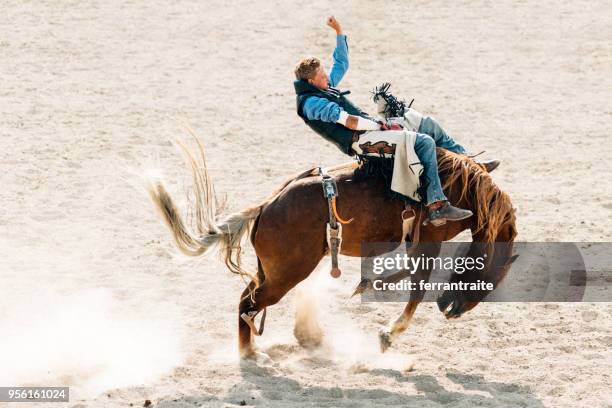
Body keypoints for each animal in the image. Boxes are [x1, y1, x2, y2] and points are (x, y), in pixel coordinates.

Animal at [147, 135, 516, 358]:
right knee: (248, 303)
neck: (464, 191)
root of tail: (266, 206)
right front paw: (388, 334)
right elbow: (417, 287)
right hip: (287, 273)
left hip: (272, 270)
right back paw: (250, 353)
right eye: (489, 278)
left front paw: (370, 284)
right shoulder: (429, 239)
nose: (452, 311)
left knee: (247, 299)